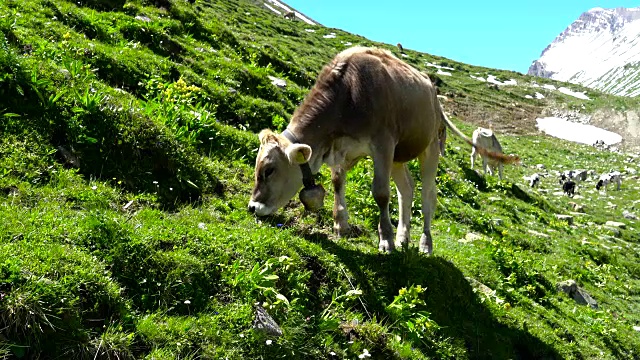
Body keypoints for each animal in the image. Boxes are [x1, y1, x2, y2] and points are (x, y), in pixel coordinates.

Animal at [248, 45, 516, 253]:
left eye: (269, 170)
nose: (252, 207)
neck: (349, 94)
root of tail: (432, 91)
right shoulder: (342, 149)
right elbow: (337, 183)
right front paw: (341, 225)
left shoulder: (383, 144)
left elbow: (380, 193)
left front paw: (386, 240)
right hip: (398, 156)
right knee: (407, 188)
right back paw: (403, 236)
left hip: (429, 147)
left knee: (428, 194)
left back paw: (425, 243)